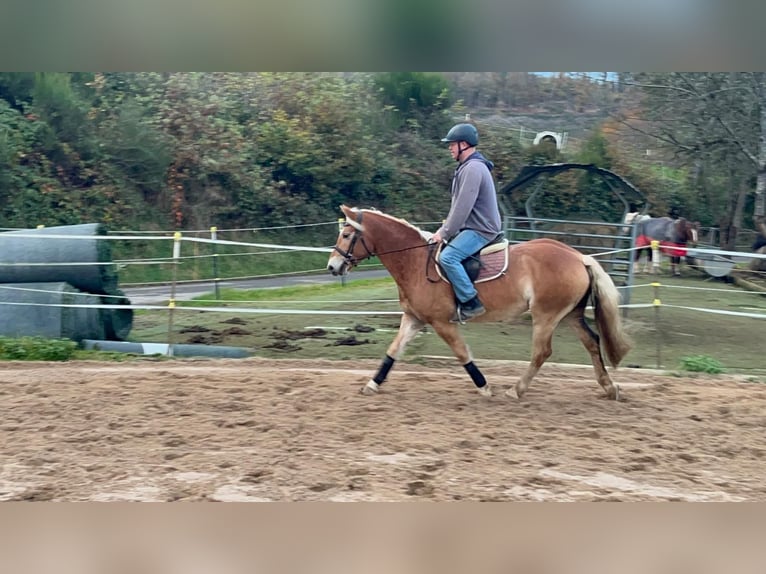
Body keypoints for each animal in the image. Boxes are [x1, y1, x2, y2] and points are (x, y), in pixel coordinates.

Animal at [328, 205, 632, 402]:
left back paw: (516, 390)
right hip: (570, 315)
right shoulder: (414, 319)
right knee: (592, 342)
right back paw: (609, 388)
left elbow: (463, 354)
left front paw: (484, 387)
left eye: (346, 235)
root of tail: (579, 256)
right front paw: (372, 384)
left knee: (542, 352)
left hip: (546, 316)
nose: (332, 267)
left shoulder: (441, 323)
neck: (414, 261)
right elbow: (393, 351)